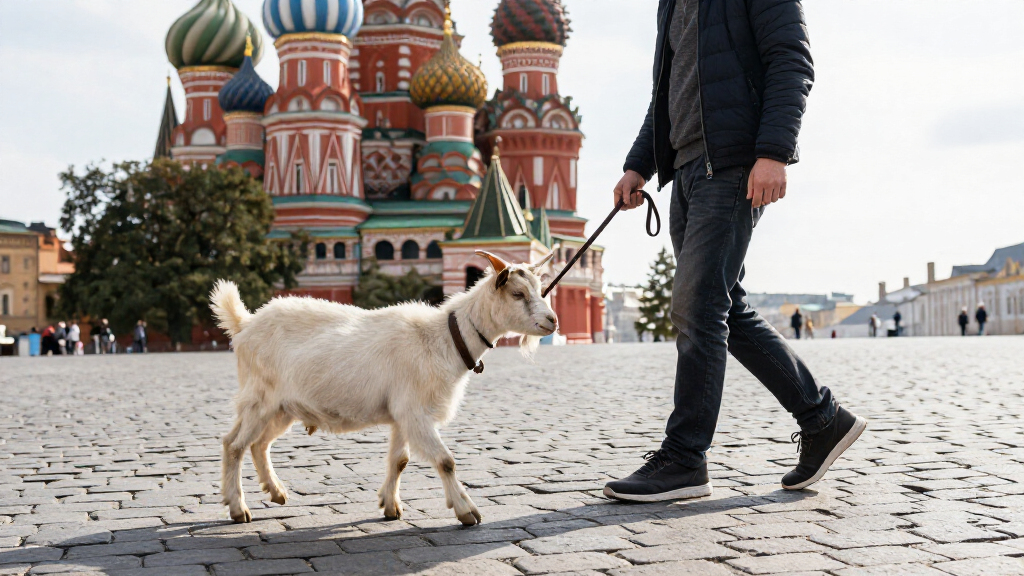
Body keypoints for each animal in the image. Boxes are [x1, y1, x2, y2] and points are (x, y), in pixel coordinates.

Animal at [210, 250, 557, 526]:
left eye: (540, 290)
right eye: (517, 294)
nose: (552, 321)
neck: (443, 338)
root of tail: (245, 324)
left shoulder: (401, 414)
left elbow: (399, 461)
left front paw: (391, 507)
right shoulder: (415, 412)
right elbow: (446, 461)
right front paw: (467, 511)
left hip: (281, 408)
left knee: (255, 444)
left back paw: (276, 492)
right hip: (261, 399)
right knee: (236, 445)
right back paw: (238, 509)